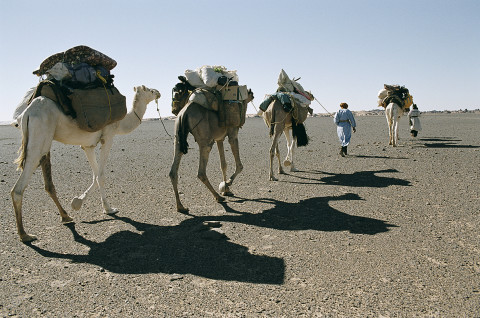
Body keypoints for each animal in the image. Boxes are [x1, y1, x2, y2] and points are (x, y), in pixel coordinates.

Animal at [10, 84, 161, 241]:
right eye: (149, 90)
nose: (158, 92)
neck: (122, 123)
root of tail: (27, 113)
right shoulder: (108, 136)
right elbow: (101, 176)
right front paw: (105, 208)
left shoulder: (88, 145)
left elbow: (96, 176)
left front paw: (82, 203)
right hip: (39, 138)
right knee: (19, 187)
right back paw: (25, 234)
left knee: (46, 182)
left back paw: (65, 216)